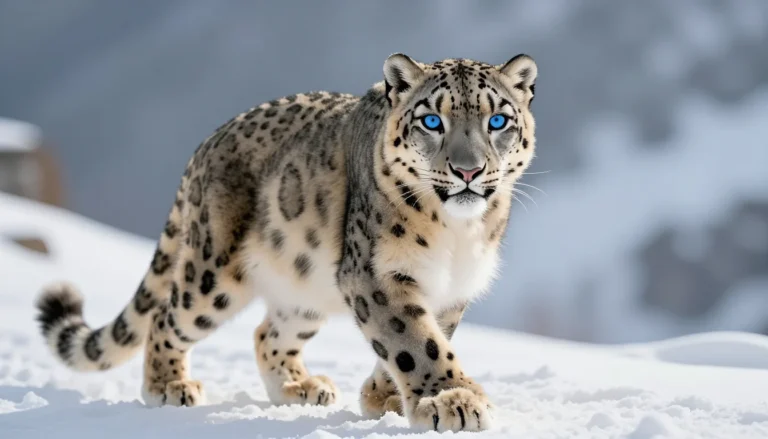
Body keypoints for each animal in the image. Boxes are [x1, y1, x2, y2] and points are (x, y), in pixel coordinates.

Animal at [35, 53, 538, 432]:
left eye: (497, 120)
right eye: (432, 120)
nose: (468, 170)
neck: (457, 236)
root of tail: (206, 143)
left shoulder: (451, 288)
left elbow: (423, 336)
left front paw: (383, 398)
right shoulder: (373, 273)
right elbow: (412, 339)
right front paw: (452, 400)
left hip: (305, 289)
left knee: (267, 333)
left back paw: (301, 387)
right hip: (213, 274)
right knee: (167, 316)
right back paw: (169, 386)